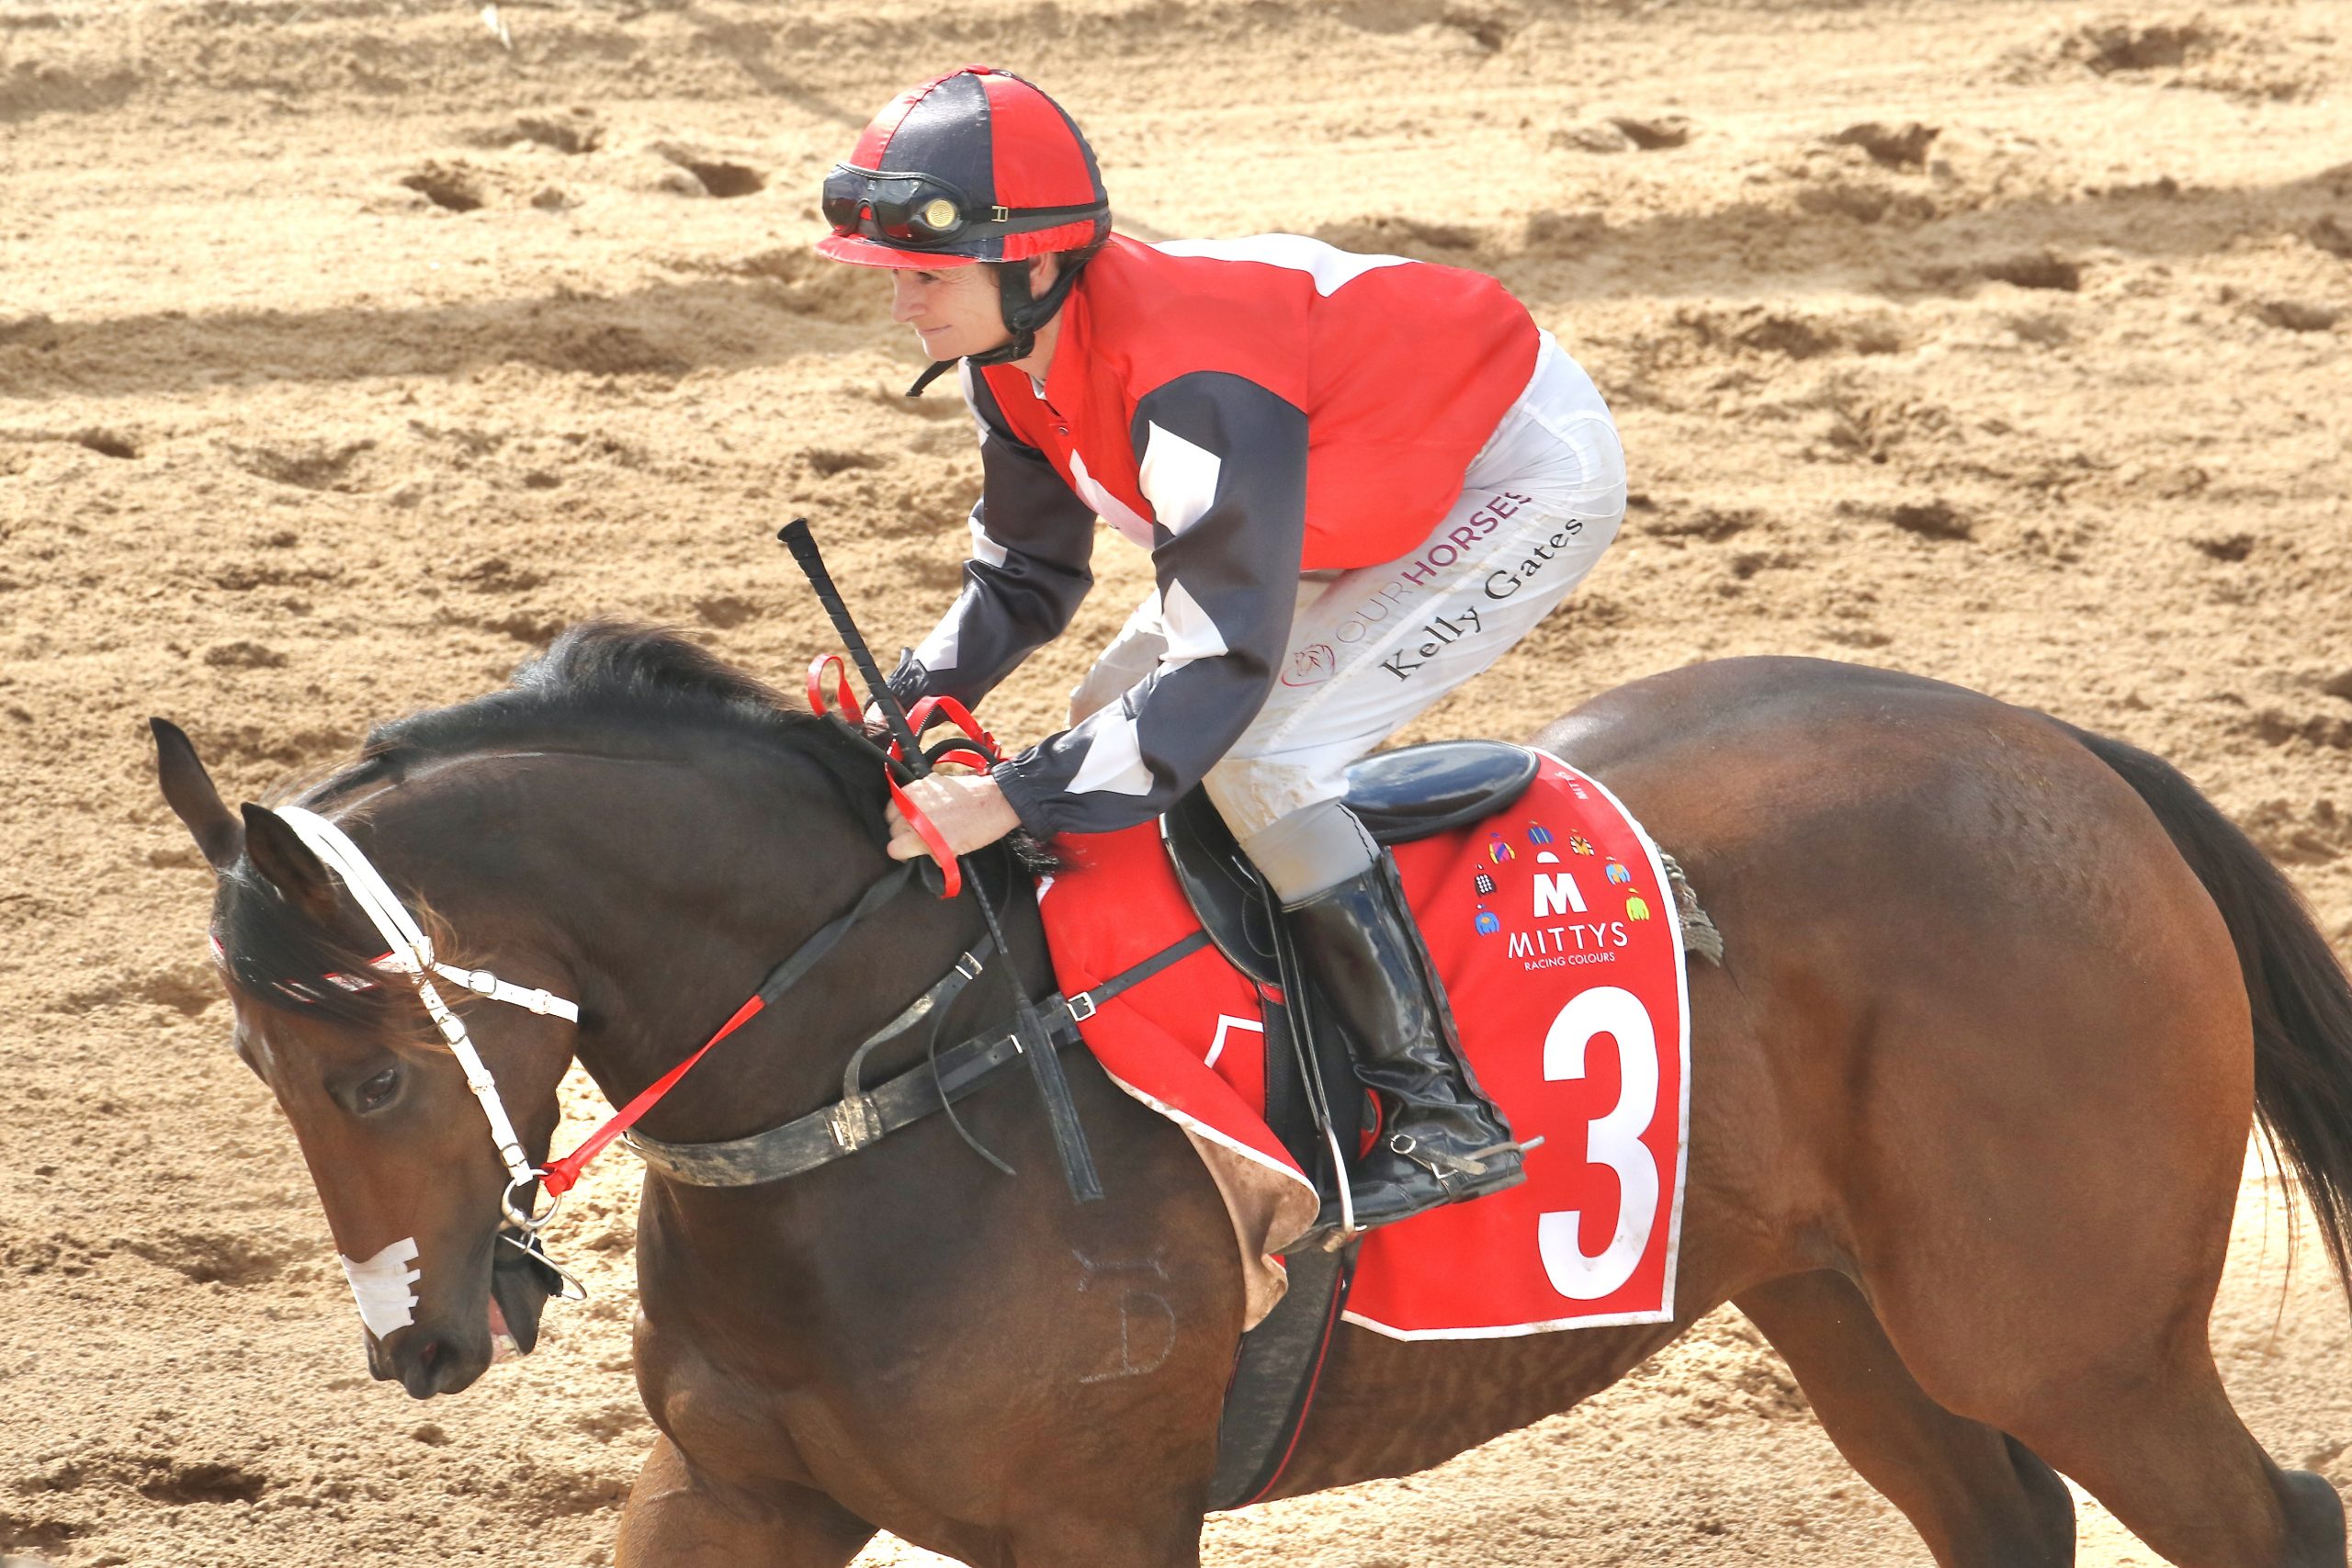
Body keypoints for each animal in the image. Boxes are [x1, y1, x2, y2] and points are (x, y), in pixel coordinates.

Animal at [151, 620, 2352, 1568]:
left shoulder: (1098, 1525)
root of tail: (2054, 745)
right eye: (254, 1059)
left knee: (2269, 1520)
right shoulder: (736, 1487)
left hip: (2072, 1336)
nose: (422, 1338)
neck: (882, 1086)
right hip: (1843, 1303)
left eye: (368, 1060)